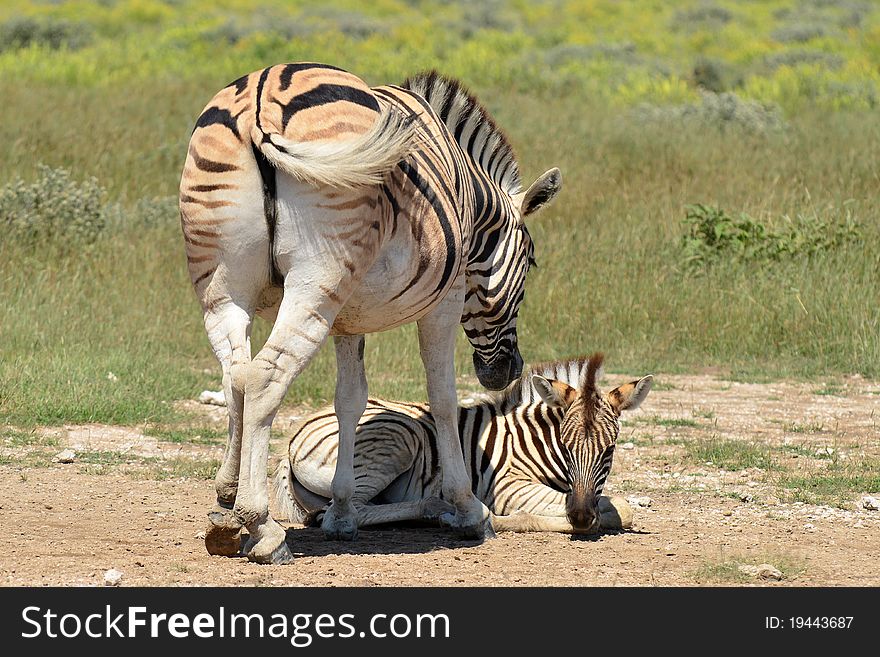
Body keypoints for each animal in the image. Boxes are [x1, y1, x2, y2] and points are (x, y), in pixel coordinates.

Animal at [180, 64, 564, 560]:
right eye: (531, 262)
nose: (508, 373)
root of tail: (260, 100)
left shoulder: (348, 316)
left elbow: (350, 401)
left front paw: (342, 512)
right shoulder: (446, 300)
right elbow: (442, 397)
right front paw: (468, 509)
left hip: (224, 290)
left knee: (236, 379)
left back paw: (226, 510)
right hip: (312, 284)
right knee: (263, 378)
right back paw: (261, 525)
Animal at [276, 354, 652, 532]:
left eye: (610, 450)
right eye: (565, 445)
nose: (580, 516)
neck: (534, 441)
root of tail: (295, 433)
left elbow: (617, 507)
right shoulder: (509, 487)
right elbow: (617, 510)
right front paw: (497, 520)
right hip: (398, 437)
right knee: (343, 511)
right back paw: (436, 510)